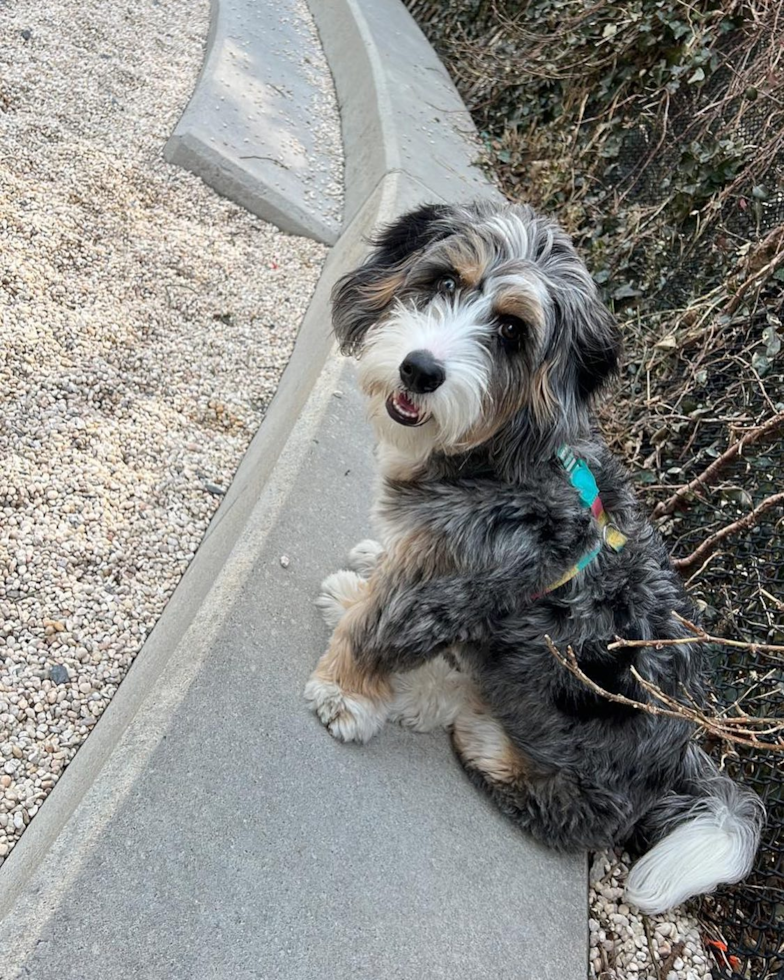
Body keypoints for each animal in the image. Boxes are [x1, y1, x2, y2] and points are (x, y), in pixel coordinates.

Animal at [302, 203, 764, 916]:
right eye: (443, 282)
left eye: (511, 330)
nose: (419, 370)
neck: (495, 453)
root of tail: (683, 750)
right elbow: (384, 586)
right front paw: (362, 581)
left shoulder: (451, 586)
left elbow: (377, 633)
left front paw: (343, 696)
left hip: (580, 763)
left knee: (564, 811)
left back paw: (481, 738)